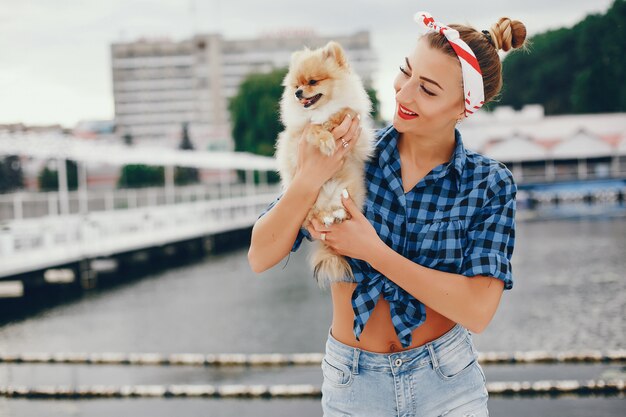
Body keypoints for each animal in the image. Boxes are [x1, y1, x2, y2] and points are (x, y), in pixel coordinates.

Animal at [274, 41, 372, 290]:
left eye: (312, 82)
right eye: (296, 85)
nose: (298, 93)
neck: (322, 109)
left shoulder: (358, 133)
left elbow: (343, 114)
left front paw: (334, 121)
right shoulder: (299, 134)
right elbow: (314, 128)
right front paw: (326, 140)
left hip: (346, 189)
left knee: (342, 211)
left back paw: (335, 213)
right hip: (308, 198)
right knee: (313, 216)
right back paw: (326, 216)